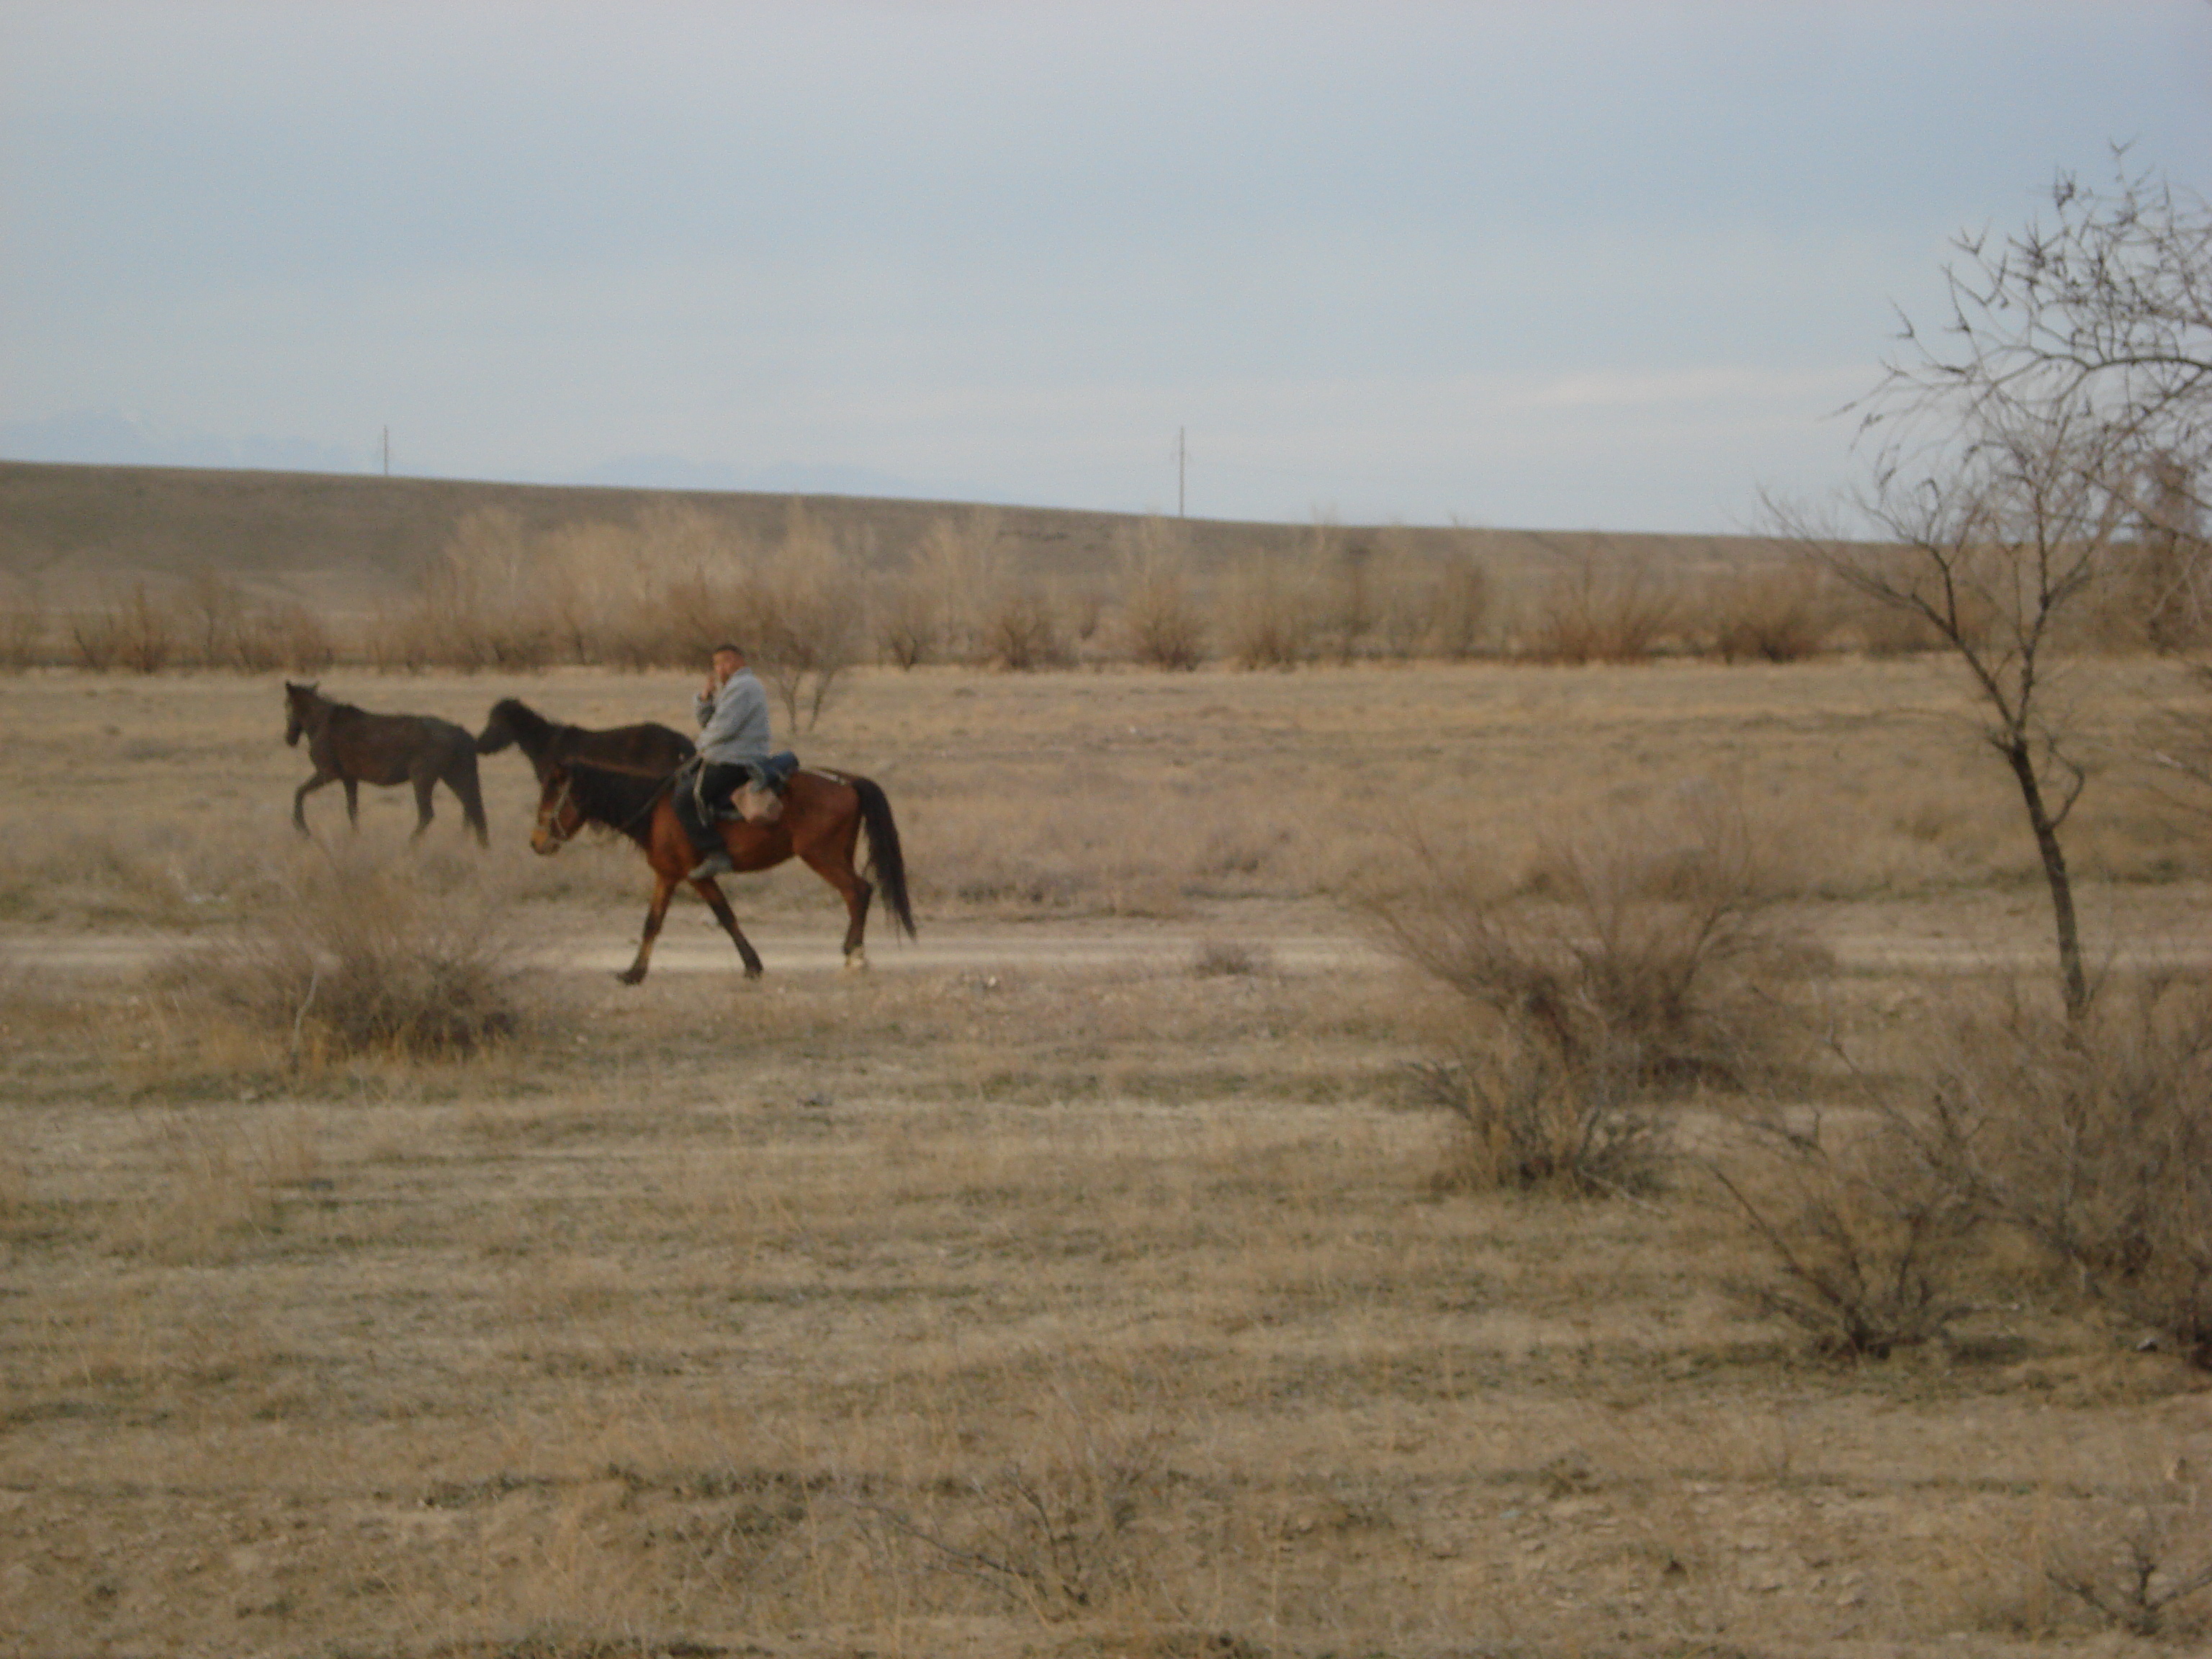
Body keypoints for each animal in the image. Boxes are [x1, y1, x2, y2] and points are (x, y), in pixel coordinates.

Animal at [285, 681, 488, 849]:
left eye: (286, 706)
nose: (289, 739)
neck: (321, 723)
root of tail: (461, 732)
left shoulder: (328, 773)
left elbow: (299, 792)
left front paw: (302, 828)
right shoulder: (349, 778)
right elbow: (352, 810)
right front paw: (355, 838)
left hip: (423, 779)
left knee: (428, 814)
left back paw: (411, 844)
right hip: (455, 776)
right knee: (472, 808)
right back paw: (475, 845)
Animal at [531, 760, 911, 981]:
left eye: (551, 798)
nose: (536, 842)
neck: (656, 811)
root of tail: (846, 781)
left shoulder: (689, 875)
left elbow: (713, 916)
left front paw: (752, 965)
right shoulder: (674, 876)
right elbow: (663, 922)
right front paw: (634, 972)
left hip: (822, 856)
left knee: (857, 891)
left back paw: (854, 956)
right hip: (838, 853)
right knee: (859, 892)